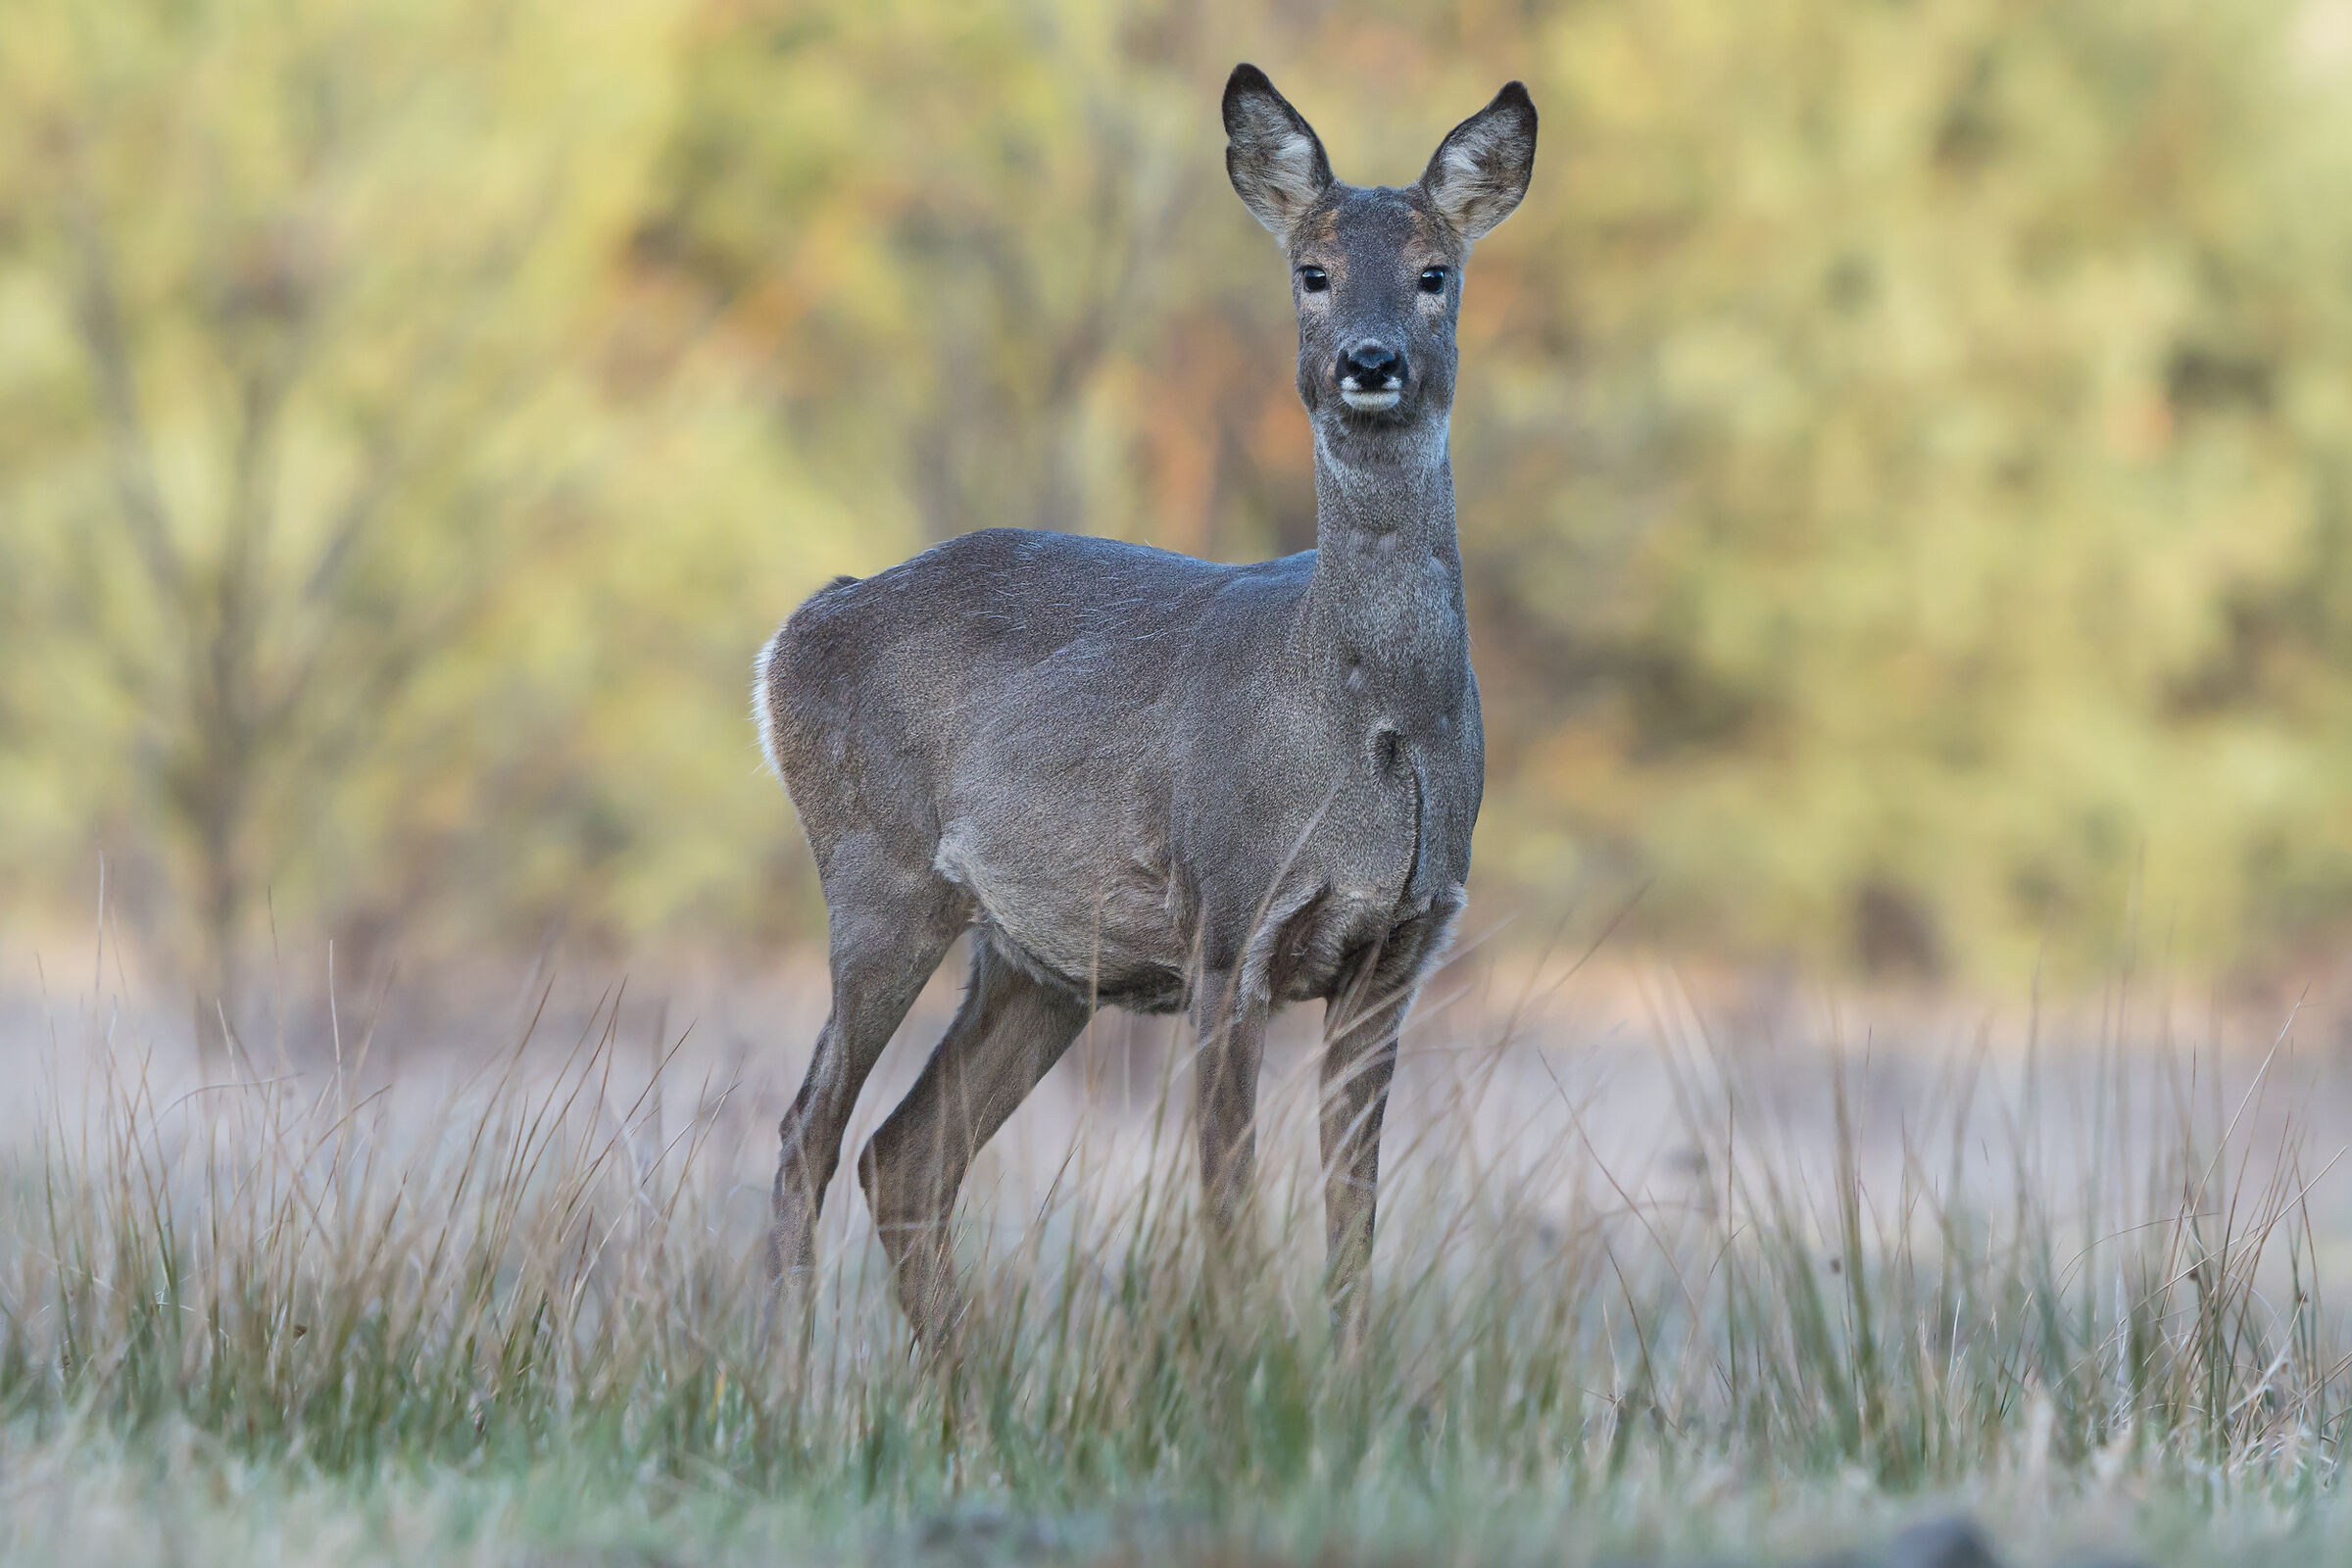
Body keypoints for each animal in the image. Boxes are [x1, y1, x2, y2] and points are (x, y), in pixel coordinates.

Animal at [754, 63, 1536, 1348]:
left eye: (1436, 272)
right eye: (1311, 270)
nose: (1370, 361)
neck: (1366, 727)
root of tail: (796, 634)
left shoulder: (1399, 949)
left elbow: (1353, 1226)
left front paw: (1346, 1378)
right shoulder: (1230, 919)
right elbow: (1229, 1206)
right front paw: (1239, 1372)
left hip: (1037, 961)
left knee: (903, 1154)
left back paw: (974, 1386)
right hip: (879, 873)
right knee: (805, 1133)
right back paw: (779, 1378)